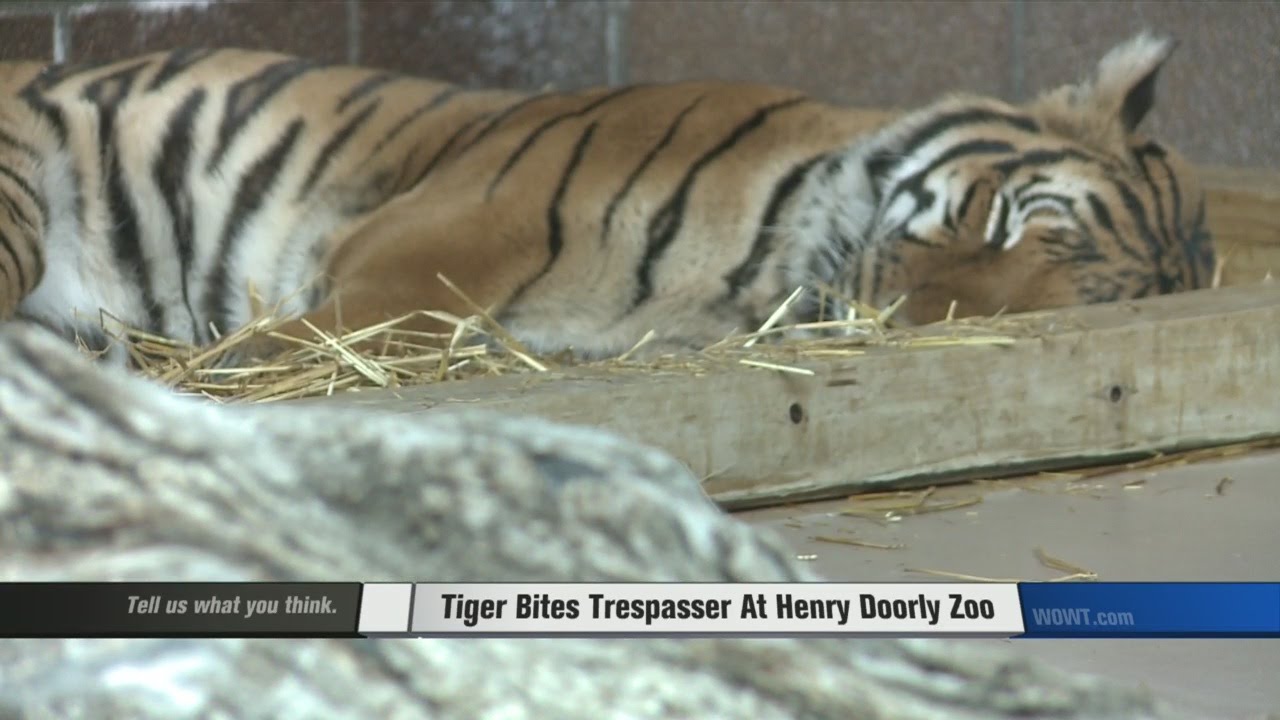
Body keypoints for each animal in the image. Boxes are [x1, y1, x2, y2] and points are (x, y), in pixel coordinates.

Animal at [0, 33, 1213, 364]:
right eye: (992, 218)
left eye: (1018, 306)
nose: (887, 306)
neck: (752, 265)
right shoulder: (446, 231)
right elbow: (348, 322)